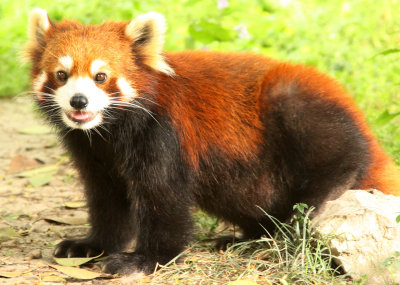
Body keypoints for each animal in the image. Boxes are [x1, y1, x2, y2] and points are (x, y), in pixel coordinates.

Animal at [25, 8, 400, 274]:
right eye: (62, 75)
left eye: (101, 76)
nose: (79, 102)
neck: (112, 130)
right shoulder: (95, 152)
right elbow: (108, 200)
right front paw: (93, 245)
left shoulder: (163, 133)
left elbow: (164, 198)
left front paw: (145, 259)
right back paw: (248, 238)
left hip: (296, 102)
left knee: (337, 151)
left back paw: (313, 203)